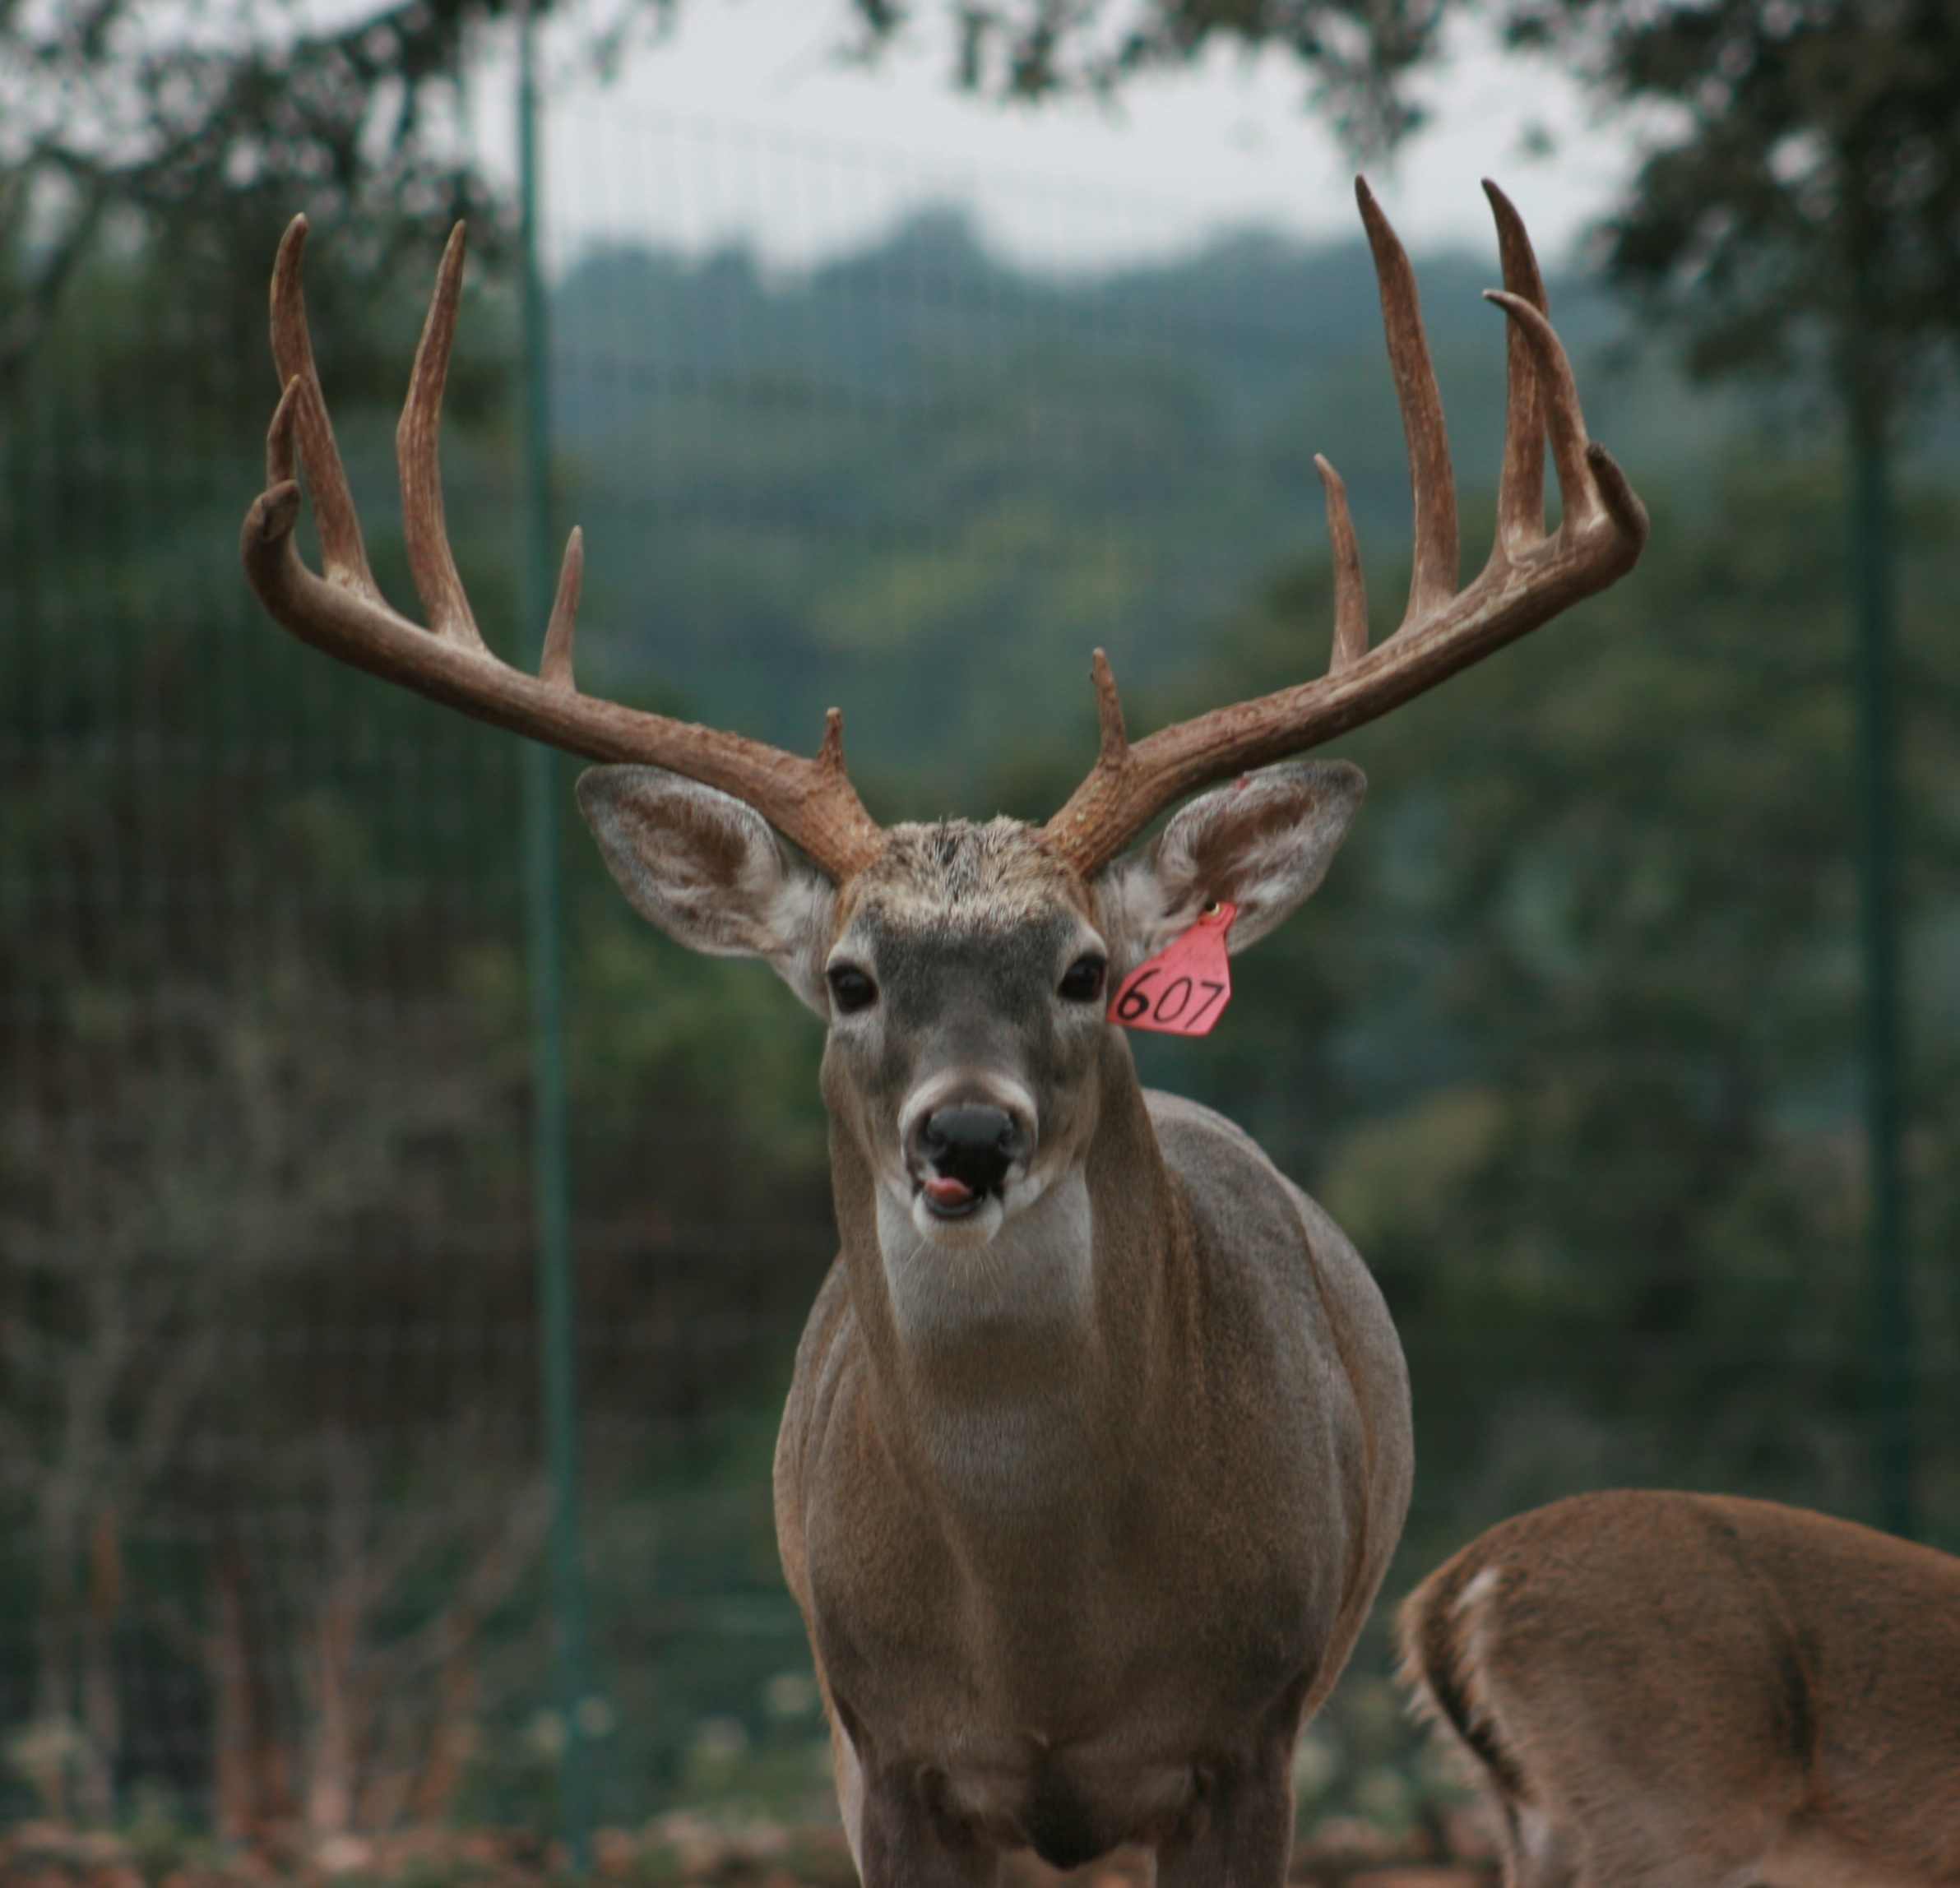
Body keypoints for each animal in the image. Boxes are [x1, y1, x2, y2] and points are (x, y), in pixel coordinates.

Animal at [241, 181, 1654, 1888]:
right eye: (851, 978)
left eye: (1086, 969)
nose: (967, 1136)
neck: (1046, 1642)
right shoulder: (883, 1750)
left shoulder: (1251, 1739)